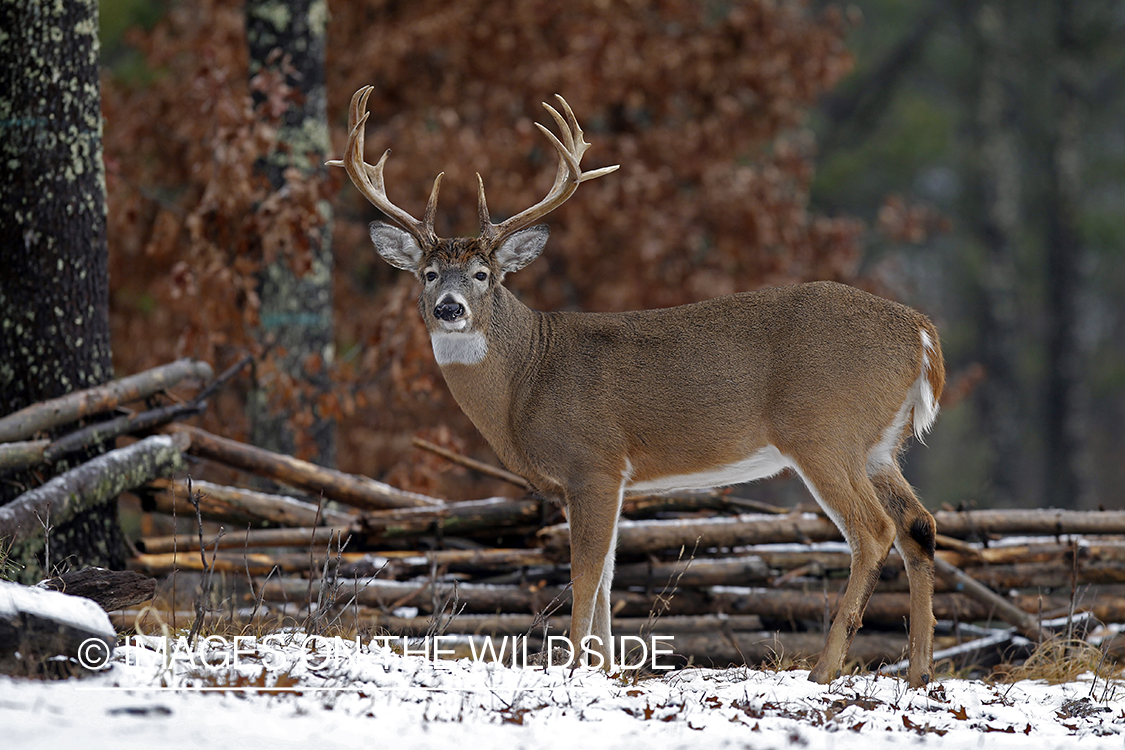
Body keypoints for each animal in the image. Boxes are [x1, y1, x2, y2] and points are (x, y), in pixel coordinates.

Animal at [328, 84, 945, 688]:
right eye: (428, 274)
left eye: (484, 275)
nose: (449, 307)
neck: (526, 380)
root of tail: (920, 331)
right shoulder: (612, 478)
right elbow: (607, 575)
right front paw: (603, 669)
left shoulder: (593, 461)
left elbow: (585, 573)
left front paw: (573, 668)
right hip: (878, 446)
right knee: (919, 524)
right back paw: (918, 673)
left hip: (823, 431)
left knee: (874, 529)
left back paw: (823, 670)